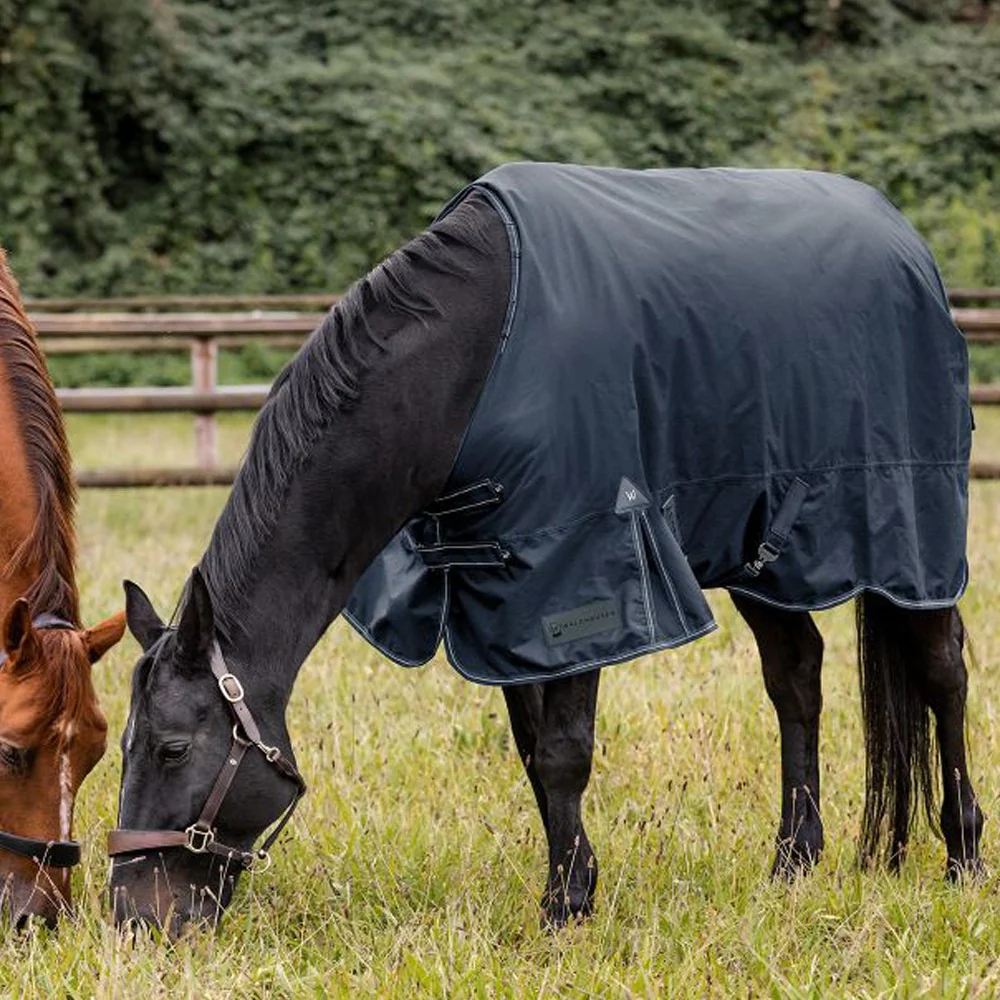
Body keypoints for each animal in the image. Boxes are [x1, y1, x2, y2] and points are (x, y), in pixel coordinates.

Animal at [108, 164, 982, 937]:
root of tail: (907, 243)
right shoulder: (502, 594)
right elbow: (535, 755)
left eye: (173, 747)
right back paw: (793, 863)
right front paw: (577, 887)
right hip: (766, 554)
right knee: (795, 680)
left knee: (943, 672)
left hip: (912, 533)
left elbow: (564, 753)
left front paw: (563, 912)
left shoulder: (582, 572)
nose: (134, 920)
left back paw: (963, 856)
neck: (471, 358)